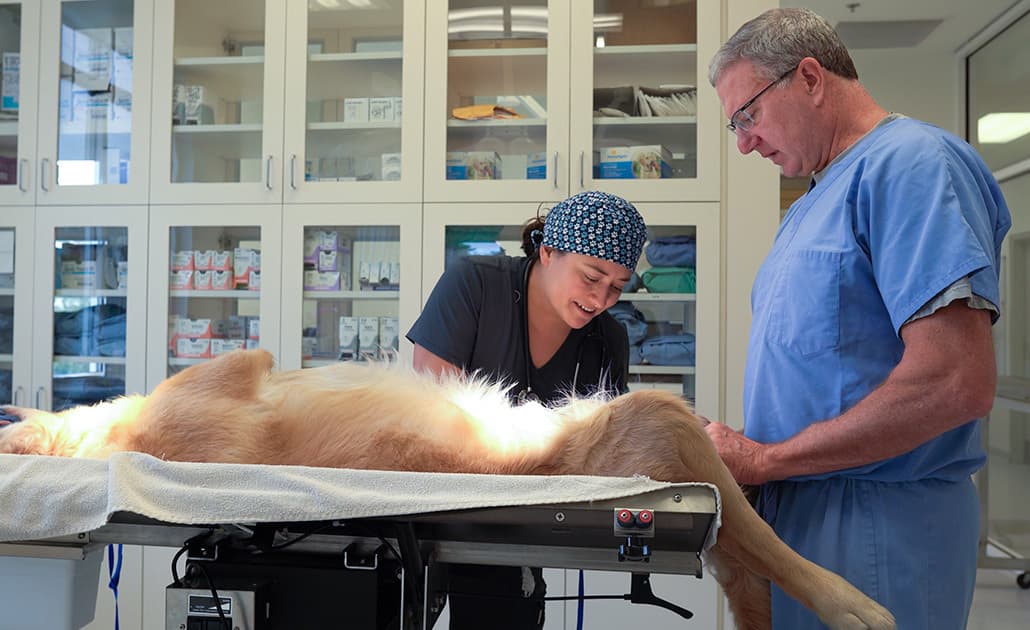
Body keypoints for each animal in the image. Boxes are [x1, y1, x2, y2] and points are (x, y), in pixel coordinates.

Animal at [0, 350, 898, 630]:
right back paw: (853, 603)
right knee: (748, 537)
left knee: (743, 549)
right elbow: (253, 358)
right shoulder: (206, 399)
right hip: (655, 422)